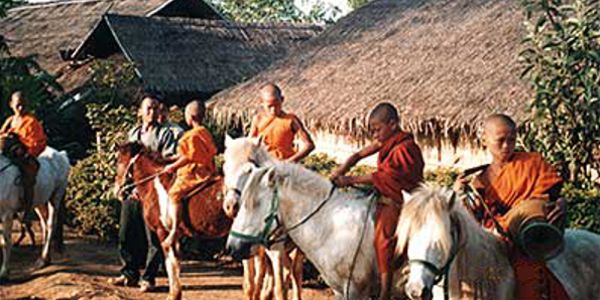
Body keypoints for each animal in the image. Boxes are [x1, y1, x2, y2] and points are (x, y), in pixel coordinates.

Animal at [0, 146, 70, 280]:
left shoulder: (7, 214)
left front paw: (4, 272)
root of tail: (61, 154)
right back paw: (45, 257)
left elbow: (5, 242)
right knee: (44, 225)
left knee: (51, 225)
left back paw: (43, 259)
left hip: (56, 196)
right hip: (39, 202)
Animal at [113, 143, 231, 300]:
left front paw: (174, 294)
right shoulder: (176, 234)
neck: (154, 185)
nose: (117, 190)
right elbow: (176, 262)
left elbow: (171, 262)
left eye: (118, 162)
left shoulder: (162, 231)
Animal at [223, 137, 304, 300]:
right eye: (224, 168)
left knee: (294, 272)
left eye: (249, 170)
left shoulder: (277, 250)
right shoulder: (245, 248)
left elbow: (279, 287)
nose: (231, 206)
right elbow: (251, 283)